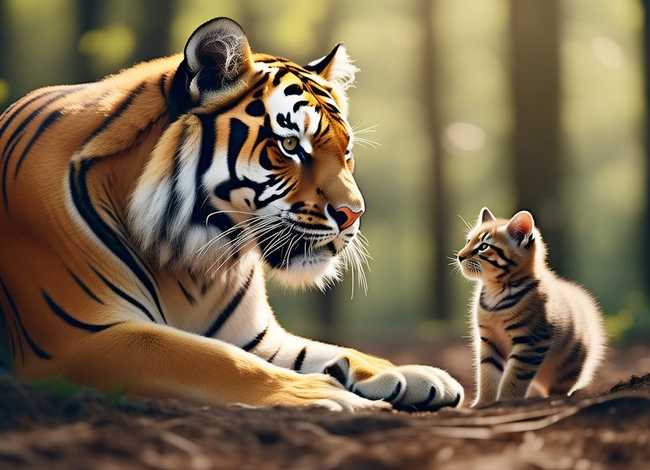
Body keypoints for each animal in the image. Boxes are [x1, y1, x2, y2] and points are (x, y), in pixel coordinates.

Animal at [0, 17, 464, 412]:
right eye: (290, 146)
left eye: (345, 151)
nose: (354, 213)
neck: (190, 263)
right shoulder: (77, 338)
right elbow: (211, 359)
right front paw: (323, 391)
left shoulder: (257, 337)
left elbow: (331, 349)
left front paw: (414, 373)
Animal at [456, 207, 606, 406]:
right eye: (468, 241)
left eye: (483, 247)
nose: (459, 256)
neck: (496, 291)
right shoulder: (489, 341)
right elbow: (487, 376)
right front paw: (483, 405)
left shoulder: (531, 343)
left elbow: (513, 379)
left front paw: (506, 402)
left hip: (567, 368)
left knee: (561, 388)